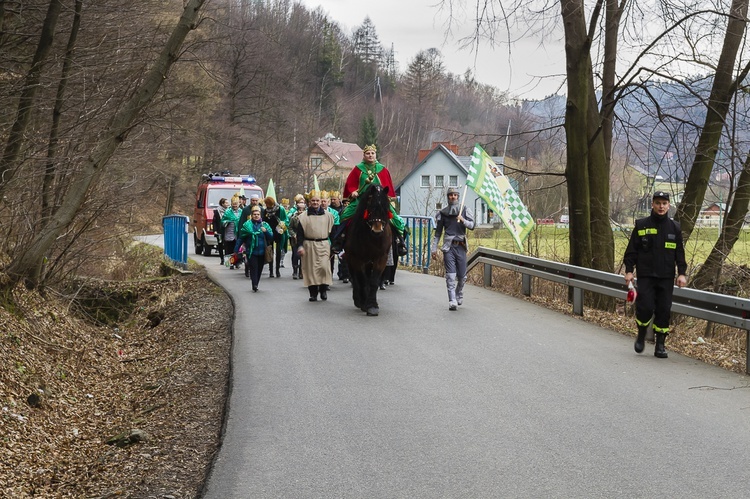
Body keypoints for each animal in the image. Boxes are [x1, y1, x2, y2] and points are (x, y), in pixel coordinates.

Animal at [346, 184, 394, 316]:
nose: (377, 229)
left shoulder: (381, 258)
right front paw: (364, 303)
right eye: (370, 204)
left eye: (385, 206)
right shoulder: (357, 259)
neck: (372, 238)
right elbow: (362, 280)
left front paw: (372, 305)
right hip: (350, 259)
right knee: (355, 278)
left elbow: (373, 282)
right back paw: (358, 300)